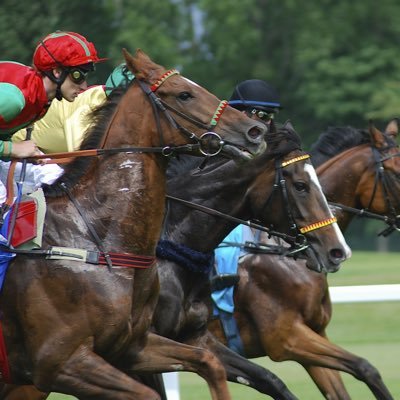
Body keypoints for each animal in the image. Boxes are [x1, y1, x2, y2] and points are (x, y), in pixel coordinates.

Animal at [0, 47, 268, 400]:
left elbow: (209, 361)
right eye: (184, 94)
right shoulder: (60, 363)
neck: (95, 239)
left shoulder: (132, 346)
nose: (255, 131)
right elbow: (150, 394)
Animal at [208, 119, 398, 400]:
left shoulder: (314, 333)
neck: (286, 256)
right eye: (396, 172)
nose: (338, 252)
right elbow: (365, 367)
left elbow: (349, 383)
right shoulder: (286, 338)